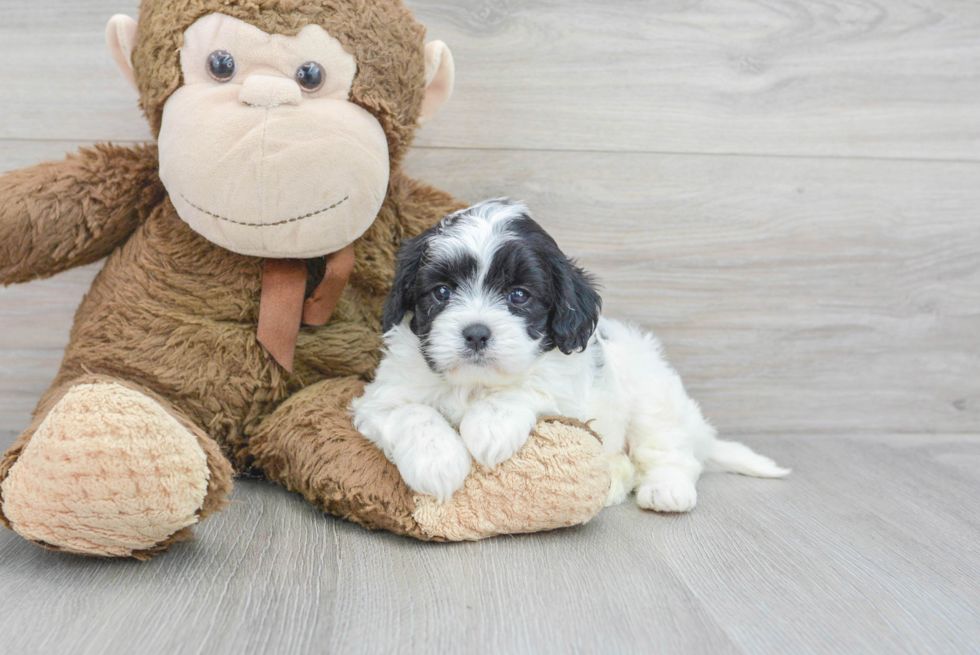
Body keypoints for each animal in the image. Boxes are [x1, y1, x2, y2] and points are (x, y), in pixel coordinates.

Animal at [352, 199, 788, 508]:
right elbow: (413, 413)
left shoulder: (568, 389)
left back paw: (667, 490)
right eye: (441, 292)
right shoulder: (378, 400)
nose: (476, 333)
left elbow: (529, 388)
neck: (474, 384)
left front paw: (488, 427)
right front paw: (437, 464)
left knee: (670, 450)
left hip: (654, 397)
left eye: (519, 296)